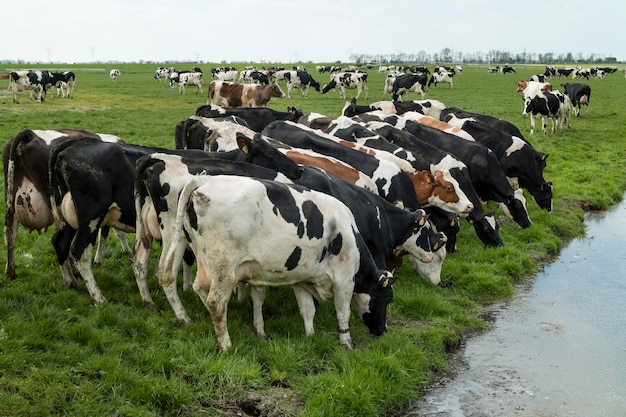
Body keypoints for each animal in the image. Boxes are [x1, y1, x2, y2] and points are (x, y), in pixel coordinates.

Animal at [2, 127, 127, 276]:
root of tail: (29, 134)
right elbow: (111, 232)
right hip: (58, 205)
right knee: (61, 240)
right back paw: (73, 272)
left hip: (11, 198)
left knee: (10, 232)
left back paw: (10, 272)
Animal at [166, 174, 394, 350]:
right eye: (388, 298)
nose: (383, 330)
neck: (349, 232)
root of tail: (204, 180)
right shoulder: (345, 280)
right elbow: (343, 312)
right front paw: (346, 343)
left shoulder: (302, 279)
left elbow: (307, 310)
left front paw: (310, 336)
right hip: (223, 267)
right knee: (216, 301)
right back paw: (226, 344)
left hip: (199, 254)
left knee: (194, 286)